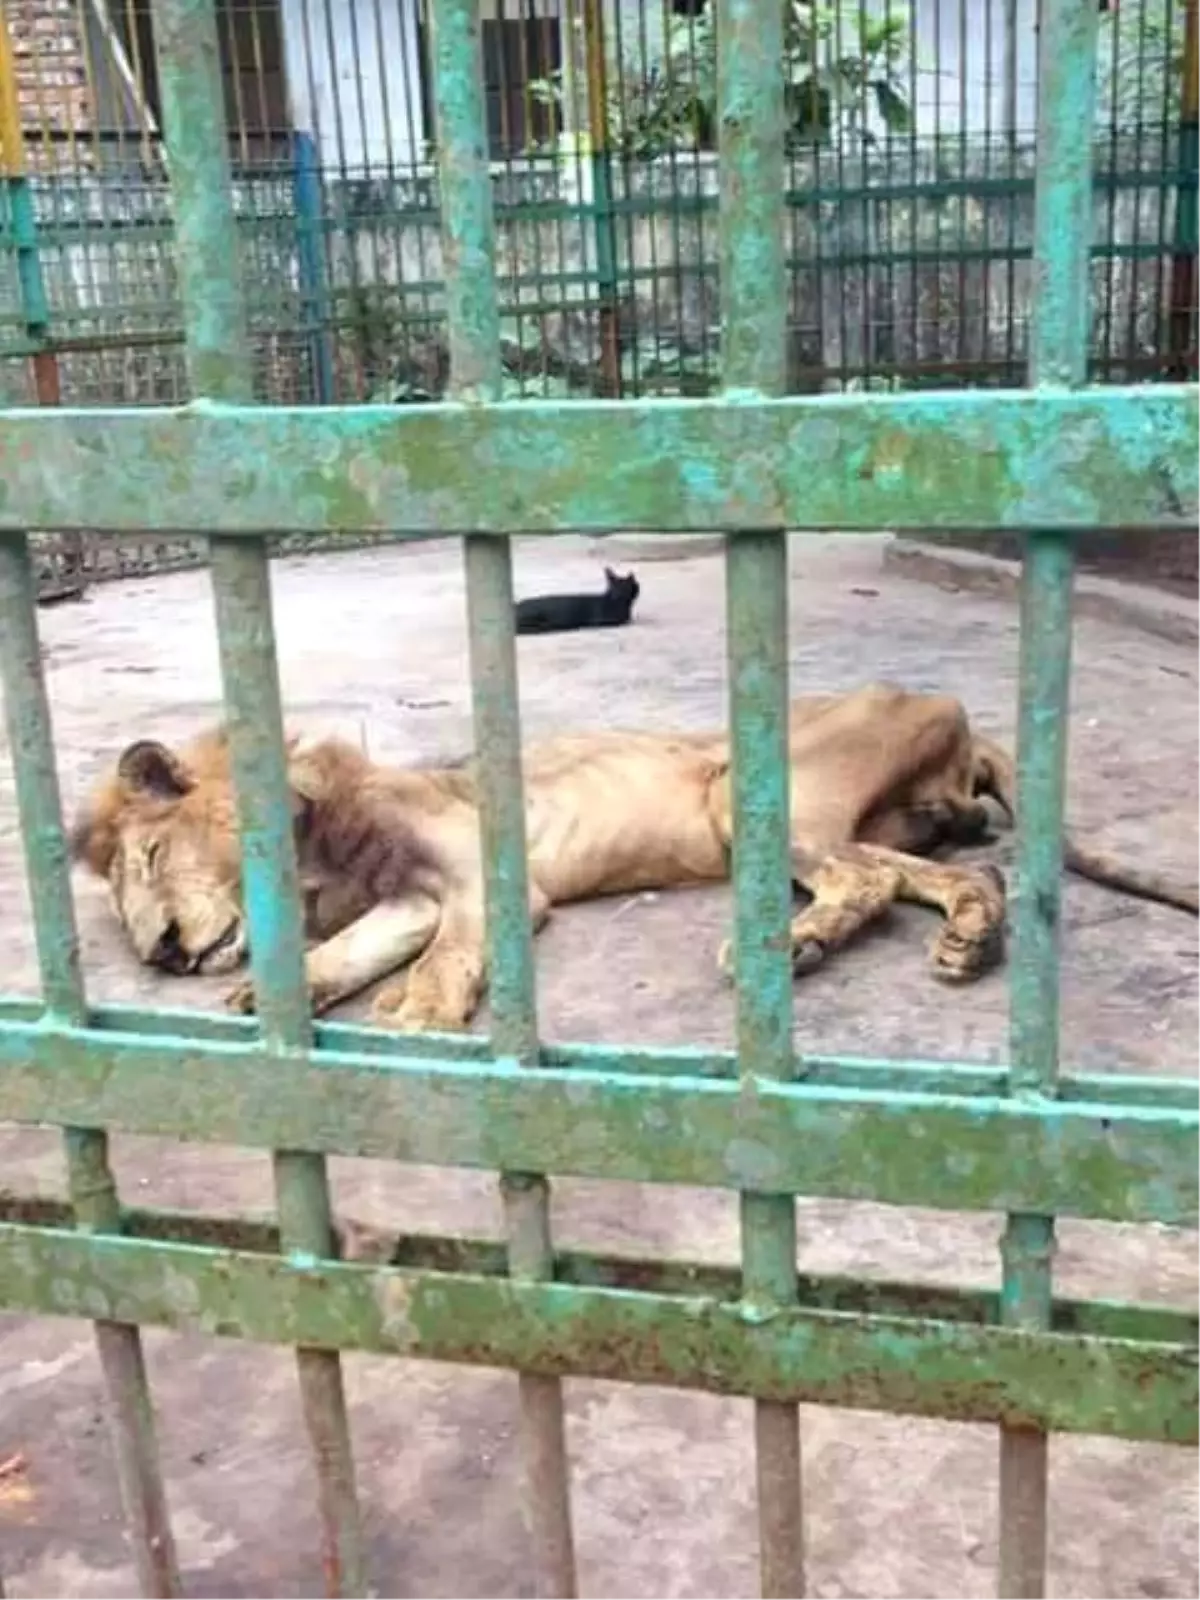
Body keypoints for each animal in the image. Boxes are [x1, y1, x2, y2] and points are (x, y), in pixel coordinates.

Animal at [72, 678, 1200, 1030]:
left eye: (149, 857)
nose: (160, 951)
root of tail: (953, 708)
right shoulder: (405, 897)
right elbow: (351, 950)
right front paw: (278, 992)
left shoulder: (478, 876)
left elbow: (445, 958)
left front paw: (421, 1016)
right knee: (959, 872)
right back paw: (966, 939)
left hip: (749, 792)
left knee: (868, 875)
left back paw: (781, 953)